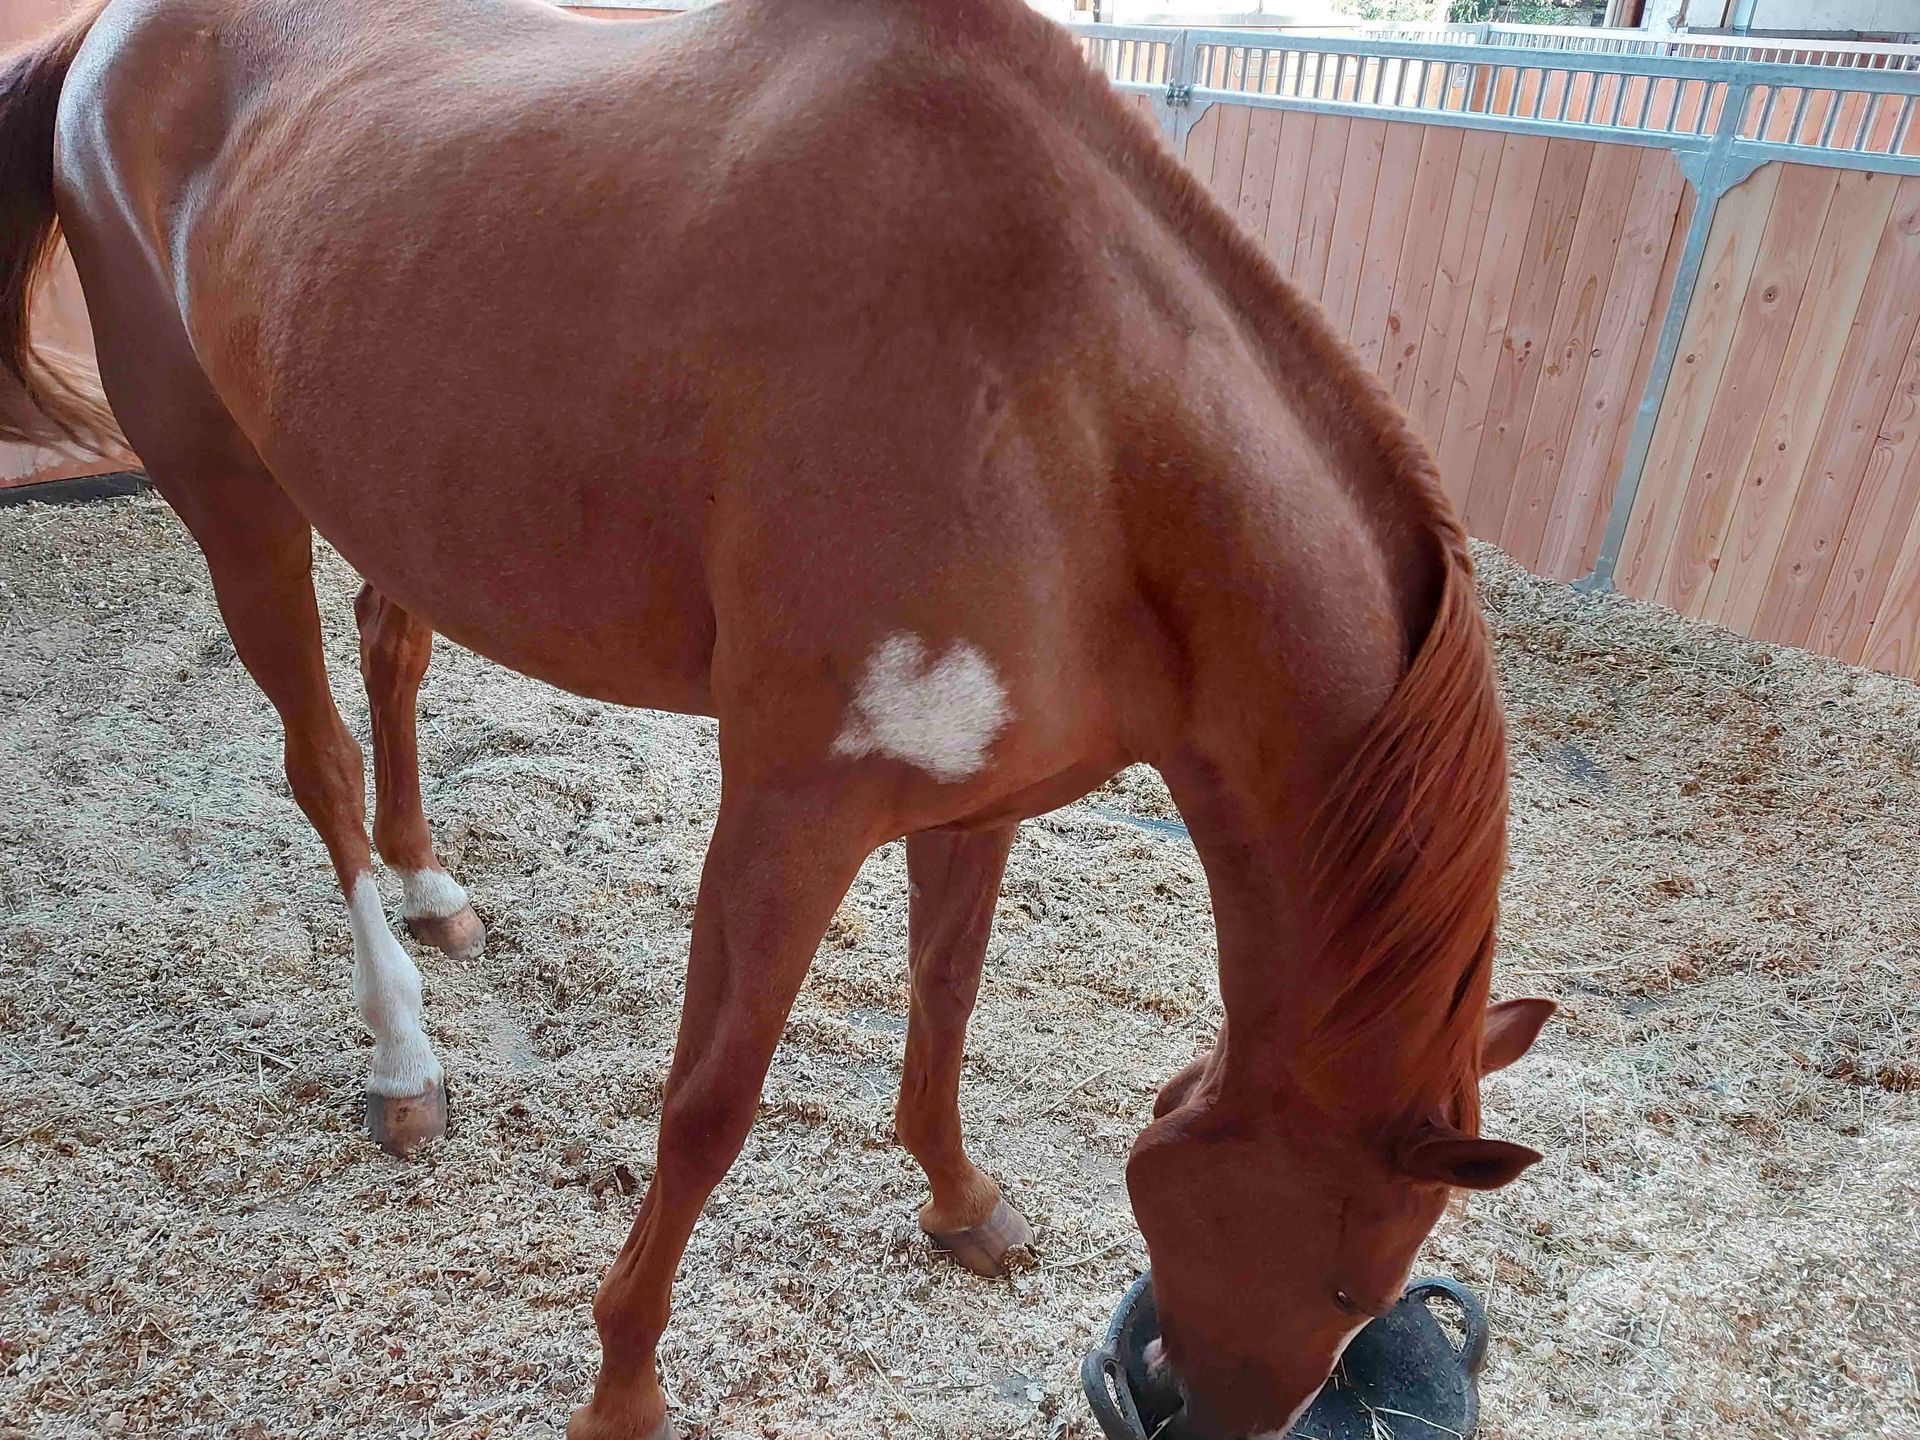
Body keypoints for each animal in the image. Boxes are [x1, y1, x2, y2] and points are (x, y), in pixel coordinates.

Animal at [0, 0, 1554, 1434]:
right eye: (1351, 1280)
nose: (1208, 1412)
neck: (1074, 414)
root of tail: (107, 37)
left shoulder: (979, 805)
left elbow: (944, 1005)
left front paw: (960, 1199)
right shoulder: (792, 815)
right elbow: (708, 1109)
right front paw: (624, 1383)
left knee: (393, 653)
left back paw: (433, 886)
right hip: (230, 487)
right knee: (315, 761)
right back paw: (403, 1054)